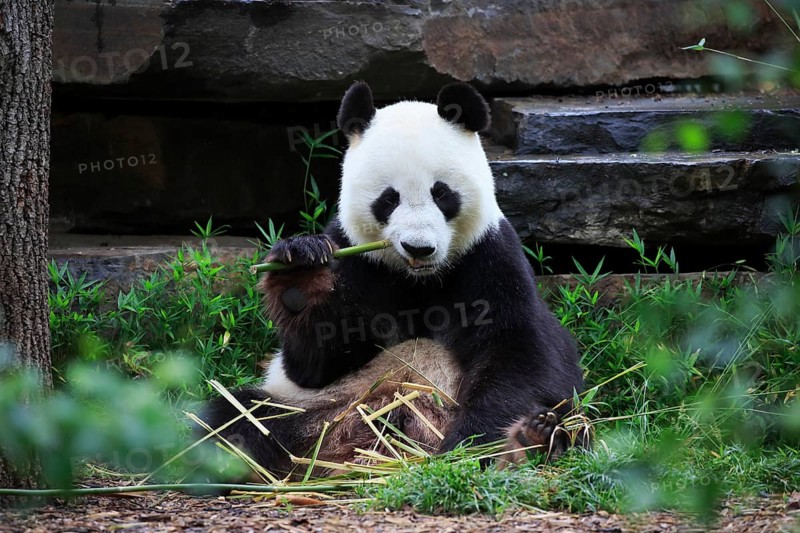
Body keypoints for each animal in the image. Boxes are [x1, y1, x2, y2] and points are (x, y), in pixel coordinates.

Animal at [201, 82, 586, 478]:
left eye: (441, 193)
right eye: (388, 199)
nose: (419, 247)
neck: (419, 279)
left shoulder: (489, 256)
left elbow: (521, 353)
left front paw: (470, 446)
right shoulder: (354, 256)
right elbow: (314, 364)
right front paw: (299, 276)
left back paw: (532, 440)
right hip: (319, 408)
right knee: (238, 416)